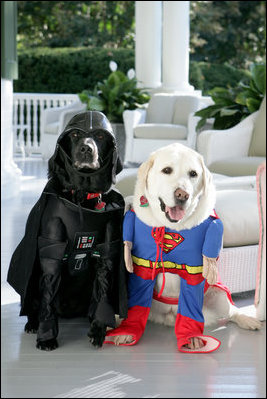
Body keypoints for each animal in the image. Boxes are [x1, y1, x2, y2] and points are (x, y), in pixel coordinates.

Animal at [8, 111, 129, 352]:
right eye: (74, 134)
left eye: (100, 135)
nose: (86, 149)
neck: (82, 196)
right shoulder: (52, 250)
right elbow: (48, 294)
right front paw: (46, 337)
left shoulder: (107, 251)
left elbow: (103, 288)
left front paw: (98, 329)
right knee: (34, 304)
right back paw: (32, 323)